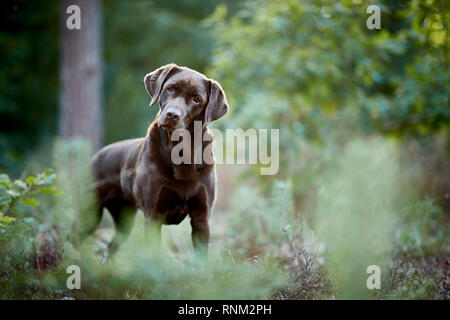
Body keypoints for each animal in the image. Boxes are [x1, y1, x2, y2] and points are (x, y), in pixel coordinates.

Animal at [89, 63, 229, 256]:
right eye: (170, 89)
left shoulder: (201, 218)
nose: (172, 115)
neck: (181, 153)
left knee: (111, 246)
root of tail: (98, 155)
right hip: (91, 213)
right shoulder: (153, 216)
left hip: (124, 220)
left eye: (196, 99)